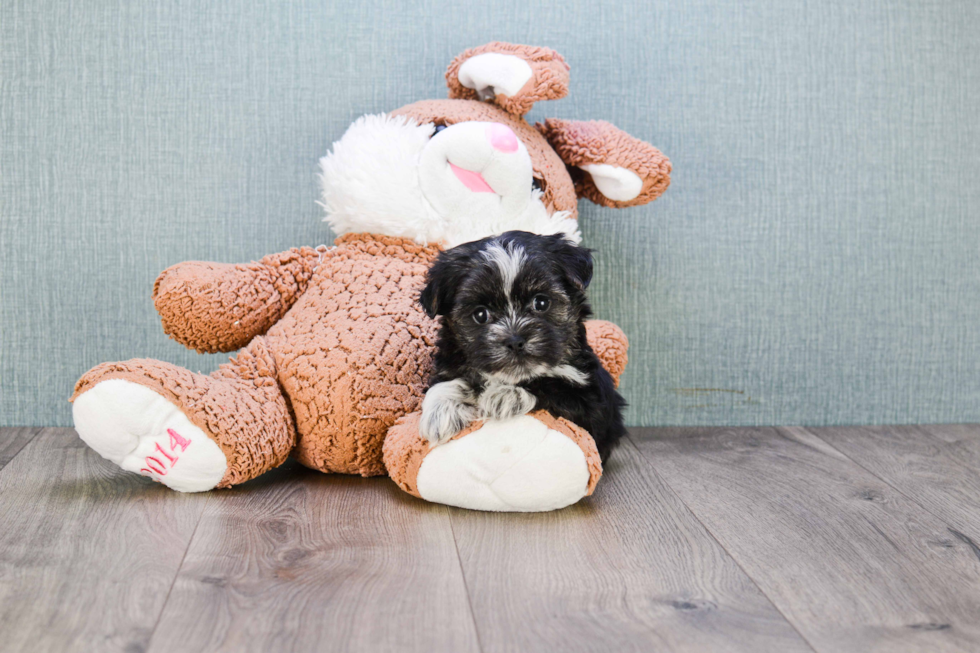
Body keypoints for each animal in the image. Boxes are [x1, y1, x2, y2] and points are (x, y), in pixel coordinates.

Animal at [418, 232, 624, 460]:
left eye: (541, 303)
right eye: (480, 314)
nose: (514, 341)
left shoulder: (594, 407)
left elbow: (550, 385)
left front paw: (504, 395)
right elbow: (447, 380)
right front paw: (440, 412)